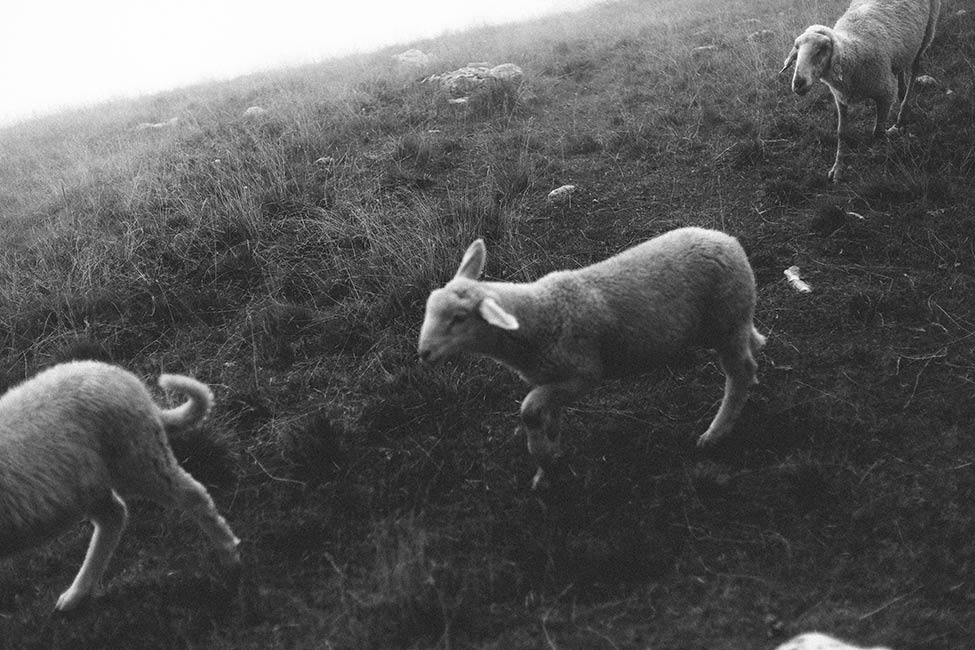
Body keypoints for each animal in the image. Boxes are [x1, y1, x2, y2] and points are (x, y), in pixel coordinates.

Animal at [0, 360, 242, 608]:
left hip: (137, 459)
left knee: (192, 495)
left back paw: (230, 556)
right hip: (92, 485)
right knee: (114, 516)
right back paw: (77, 594)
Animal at [416, 225, 768, 484]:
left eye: (459, 318)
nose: (424, 352)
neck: (538, 313)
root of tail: (730, 242)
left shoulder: (582, 374)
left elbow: (529, 411)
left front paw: (543, 456)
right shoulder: (550, 378)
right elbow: (549, 419)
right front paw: (549, 462)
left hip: (725, 322)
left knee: (739, 373)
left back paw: (715, 433)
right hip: (731, 319)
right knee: (751, 350)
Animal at [780, 0, 940, 182]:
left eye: (820, 50)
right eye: (797, 49)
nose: (798, 84)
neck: (853, 51)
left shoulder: (885, 93)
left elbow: (877, 132)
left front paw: (887, 139)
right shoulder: (841, 97)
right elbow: (841, 132)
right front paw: (838, 168)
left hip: (927, 33)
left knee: (915, 68)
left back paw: (902, 115)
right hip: (904, 48)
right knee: (901, 67)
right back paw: (902, 91)